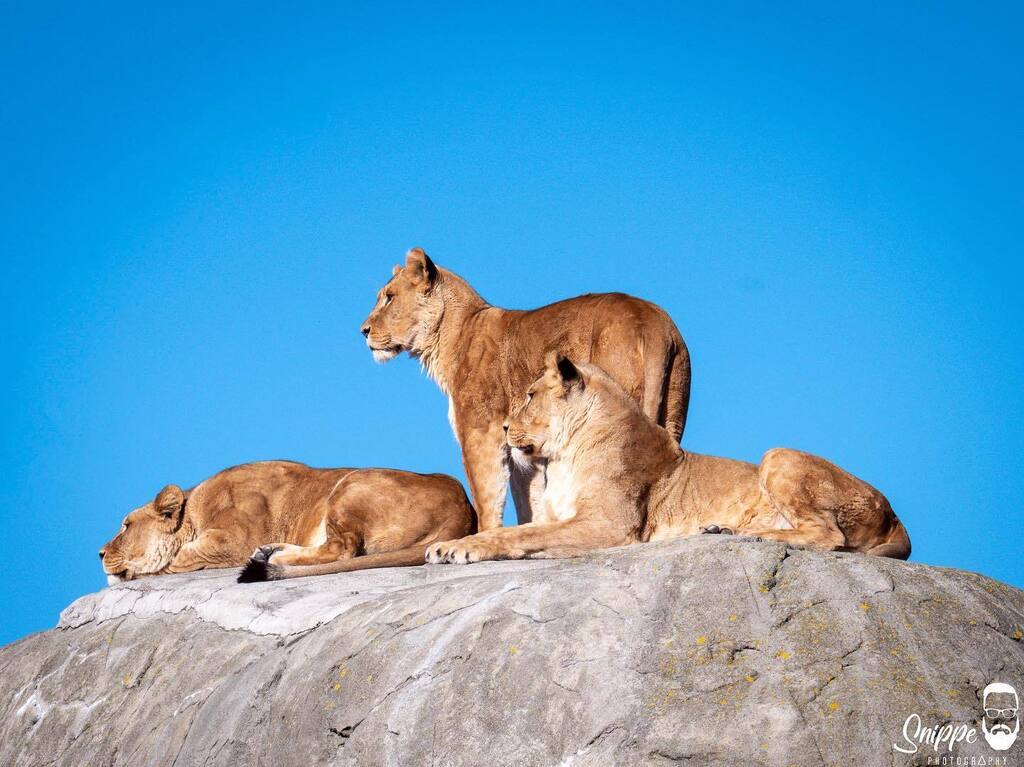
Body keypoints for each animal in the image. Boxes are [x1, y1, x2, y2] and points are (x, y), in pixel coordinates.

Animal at [98, 460, 475, 583]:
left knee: (342, 549)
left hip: (350, 485)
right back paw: (269, 551)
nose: (99, 554)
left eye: (125, 526)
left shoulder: (230, 541)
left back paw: (275, 556)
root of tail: (463, 509)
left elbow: (181, 556)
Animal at [361, 247, 690, 532]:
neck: (450, 334)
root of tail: (652, 322)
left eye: (389, 298)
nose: (363, 331)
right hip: (673, 409)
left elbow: (487, 496)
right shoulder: (522, 446)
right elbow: (530, 501)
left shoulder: (481, 433)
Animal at [425, 355, 910, 564]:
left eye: (530, 395)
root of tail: (895, 518)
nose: (506, 427)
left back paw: (743, 535)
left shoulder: (613, 526)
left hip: (778, 455)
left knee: (829, 536)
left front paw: (455, 547)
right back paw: (721, 529)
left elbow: (518, 536)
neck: (564, 456)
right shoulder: (557, 515)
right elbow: (517, 531)